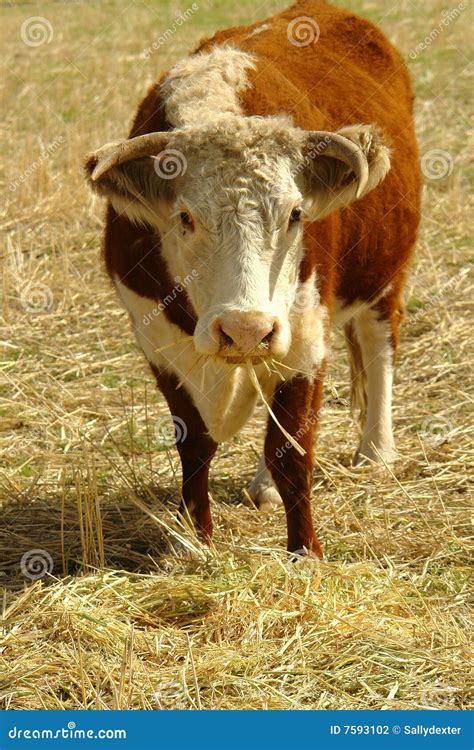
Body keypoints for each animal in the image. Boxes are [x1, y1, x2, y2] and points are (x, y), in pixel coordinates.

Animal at [85, 0, 418, 560]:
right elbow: (194, 444)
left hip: (383, 278)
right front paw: (195, 541)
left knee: (380, 347)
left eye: (296, 214)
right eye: (185, 218)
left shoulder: (305, 337)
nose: (244, 328)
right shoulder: (157, 342)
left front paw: (305, 553)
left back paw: (376, 451)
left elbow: (291, 449)